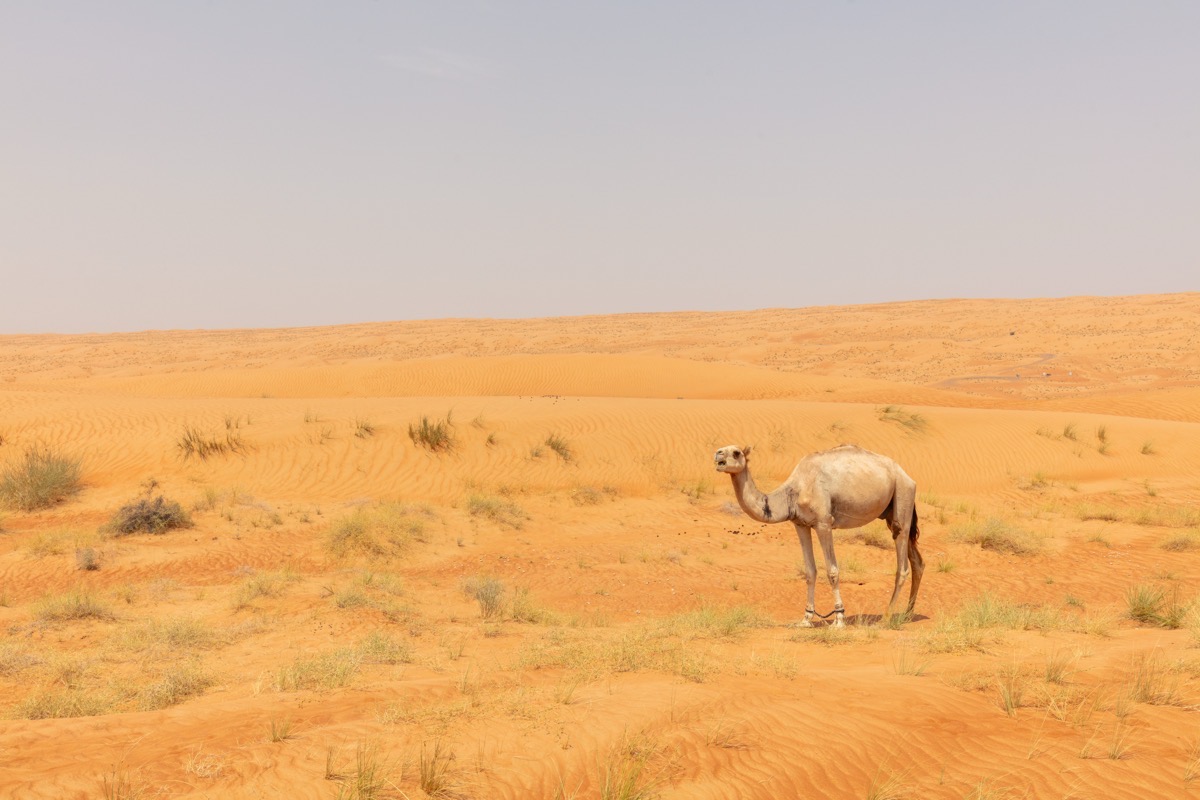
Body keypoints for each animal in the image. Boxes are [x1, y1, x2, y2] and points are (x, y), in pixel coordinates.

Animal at [714, 443, 923, 627]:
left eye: (736, 452)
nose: (717, 455)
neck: (793, 493)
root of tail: (908, 477)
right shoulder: (800, 524)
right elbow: (810, 572)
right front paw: (806, 619)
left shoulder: (824, 523)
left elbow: (832, 571)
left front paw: (839, 619)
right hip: (891, 511)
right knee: (917, 562)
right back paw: (907, 614)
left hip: (902, 495)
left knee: (902, 563)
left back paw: (886, 617)